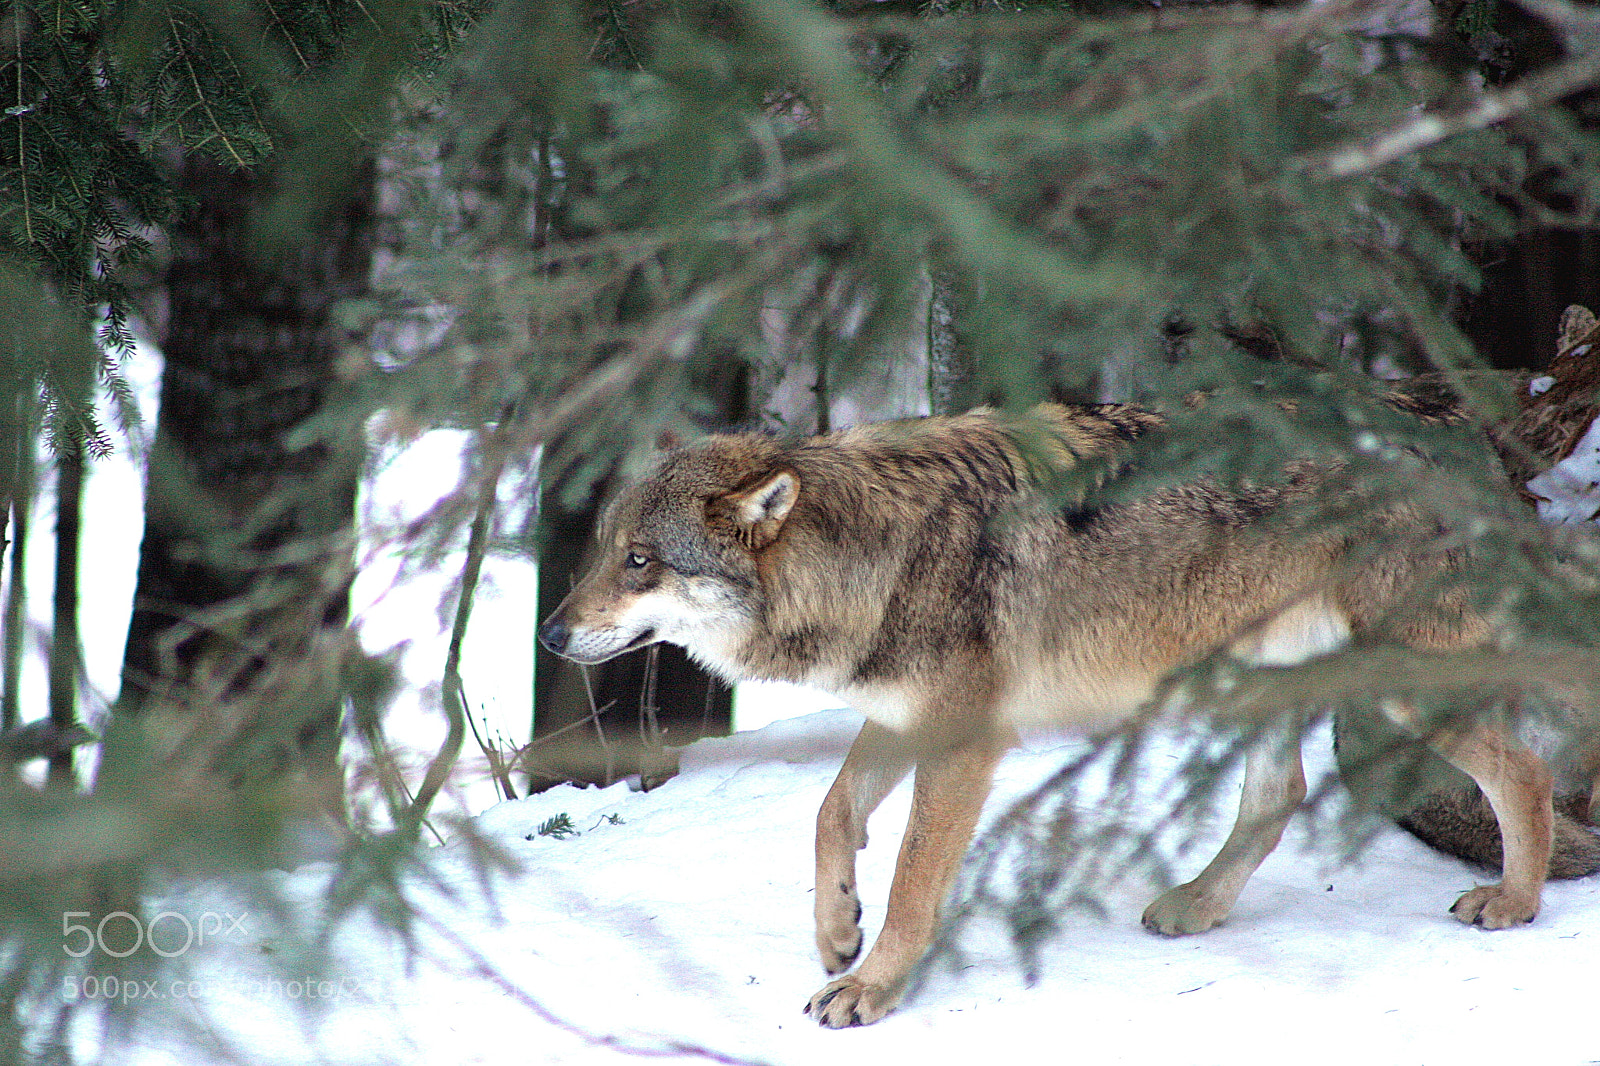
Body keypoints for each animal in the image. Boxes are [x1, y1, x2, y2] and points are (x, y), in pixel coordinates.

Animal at [538, 402, 1562, 1029]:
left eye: (639, 561)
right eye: (603, 552)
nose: (549, 633)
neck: (875, 554)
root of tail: (1450, 436)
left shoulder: (965, 740)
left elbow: (912, 880)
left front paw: (873, 986)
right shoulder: (905, 715)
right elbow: (832, 812)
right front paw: (835, 930)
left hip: (1406, 683)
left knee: (1527, 768)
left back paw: (1513, 903)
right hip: (1258, 684)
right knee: (1281, 796)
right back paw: (1197, 905)